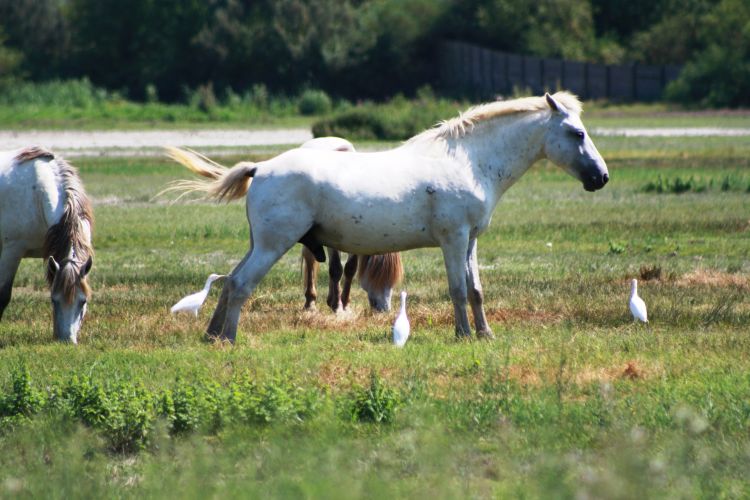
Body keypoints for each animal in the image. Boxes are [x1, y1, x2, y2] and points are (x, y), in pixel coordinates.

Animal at [0, 146, 94, 342]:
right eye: (54, 300)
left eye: (83, 301)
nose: (67, 341)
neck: (36, 195)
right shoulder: (12, 251)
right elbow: (2, 295)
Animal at [300, 137, 406, 312]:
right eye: (376, 275)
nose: (384, 309)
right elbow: (336, 268)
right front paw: (337, 306)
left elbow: (350, 268)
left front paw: (344, 303)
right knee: (311, 261)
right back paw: (311, 303)